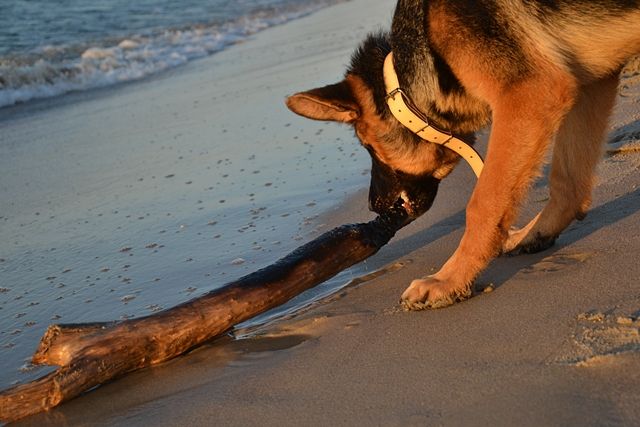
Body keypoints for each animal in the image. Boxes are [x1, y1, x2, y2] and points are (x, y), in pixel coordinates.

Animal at [286, 0, 640, 309]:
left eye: (367, 145)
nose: (374, 205)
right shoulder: (590, 81)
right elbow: (568, 181)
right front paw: (536, 231)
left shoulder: (530, 94)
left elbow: (483, 204)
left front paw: (448, 281)